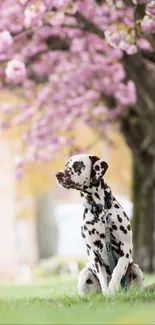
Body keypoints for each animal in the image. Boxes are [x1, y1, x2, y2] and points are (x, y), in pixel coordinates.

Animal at [55, 154, 143, 294]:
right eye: (66, 165)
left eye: (77, 165)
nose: (58, 174)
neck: (100, 210)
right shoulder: (93, 253)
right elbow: (103, 279)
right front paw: (108, 293)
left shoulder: (126, 247)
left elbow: (118, 270)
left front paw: (113, 288)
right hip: (84, 274)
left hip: (136, 269)